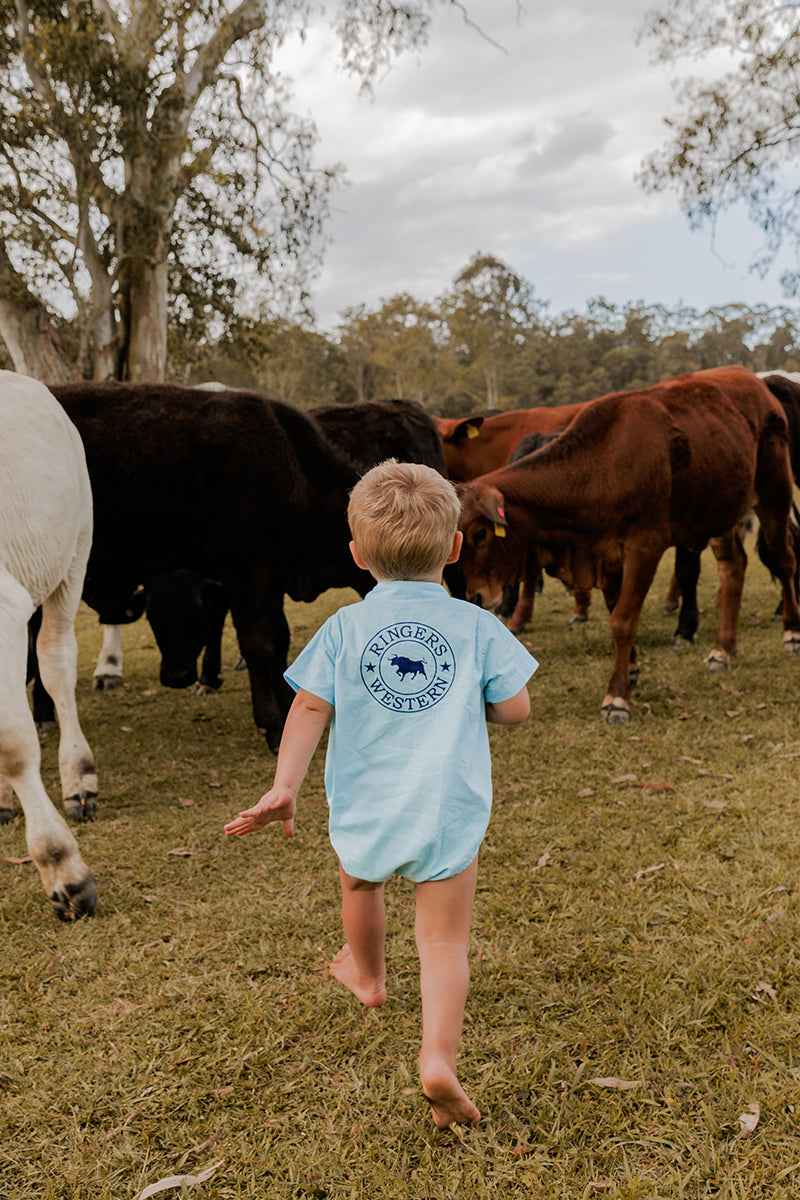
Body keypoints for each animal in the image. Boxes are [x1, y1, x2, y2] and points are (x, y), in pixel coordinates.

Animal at [47, 386, 448, 748]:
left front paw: (286, 702)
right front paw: (272, 723)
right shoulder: (246, 572)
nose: (176, 676)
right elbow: (259, 644)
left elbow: (280, 638)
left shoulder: (269, 576)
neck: (292, 467)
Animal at [455, 364, 800, 720]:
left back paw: (791, 632)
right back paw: (724, 650)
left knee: (784, 559)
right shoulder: (605, 555)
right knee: (733, 569)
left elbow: (622, 621)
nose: (474, 596)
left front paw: (617, 696)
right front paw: (632, 669)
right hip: (722, 510)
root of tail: (758, 383)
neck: (600, 465)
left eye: (479, 534)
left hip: (774, 495)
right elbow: (615, 610)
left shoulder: (643, 548)